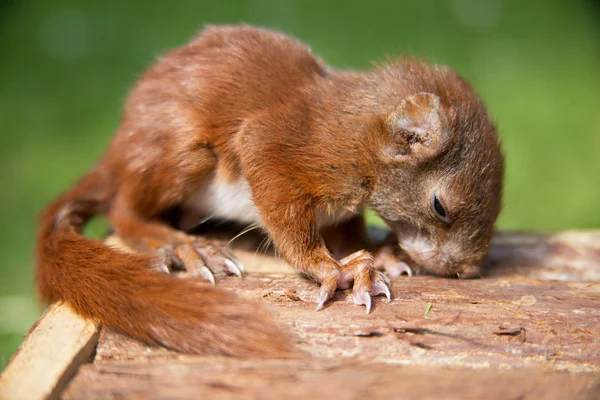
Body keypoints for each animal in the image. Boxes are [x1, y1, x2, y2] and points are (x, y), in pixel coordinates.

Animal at [35, 24, 504, 356]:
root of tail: (116, 150)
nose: (468, 270)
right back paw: (187, 246)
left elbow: (349, 230)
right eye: (440, 205)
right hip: (180, 150)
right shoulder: (276, 145)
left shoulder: (344, 208)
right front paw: (338, 269)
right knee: (124, 210)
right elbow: (289, 220)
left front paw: (383, 253)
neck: (352, 131)